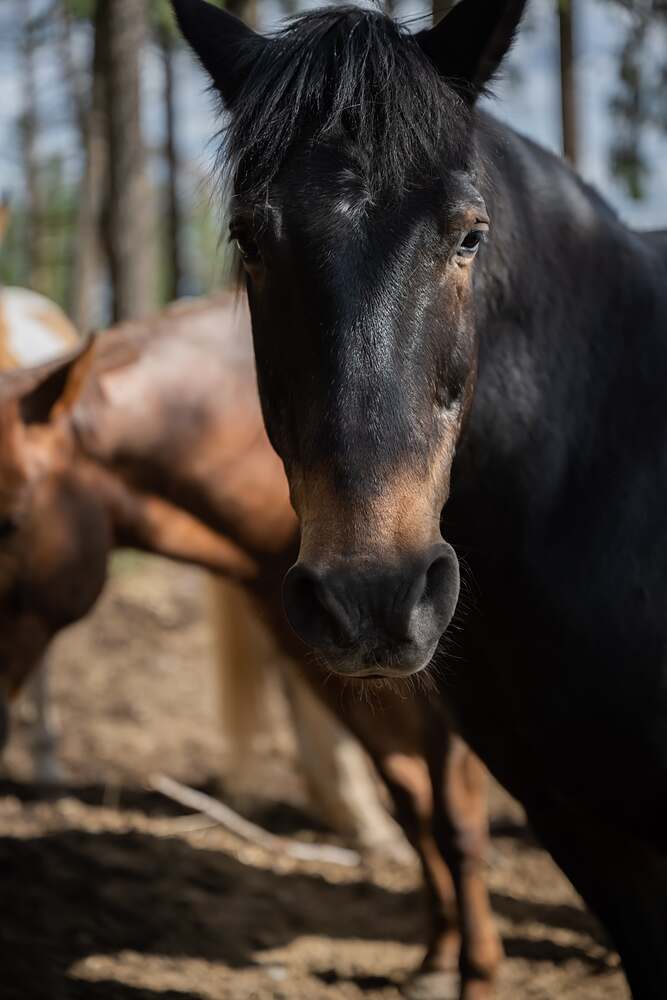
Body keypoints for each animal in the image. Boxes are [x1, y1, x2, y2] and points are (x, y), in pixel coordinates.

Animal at [0, 294, 500, 999]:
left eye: (11, 521)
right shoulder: (333, 671)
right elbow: (413, 805)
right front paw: (436, 959)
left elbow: (457, 823)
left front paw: (476, 970)